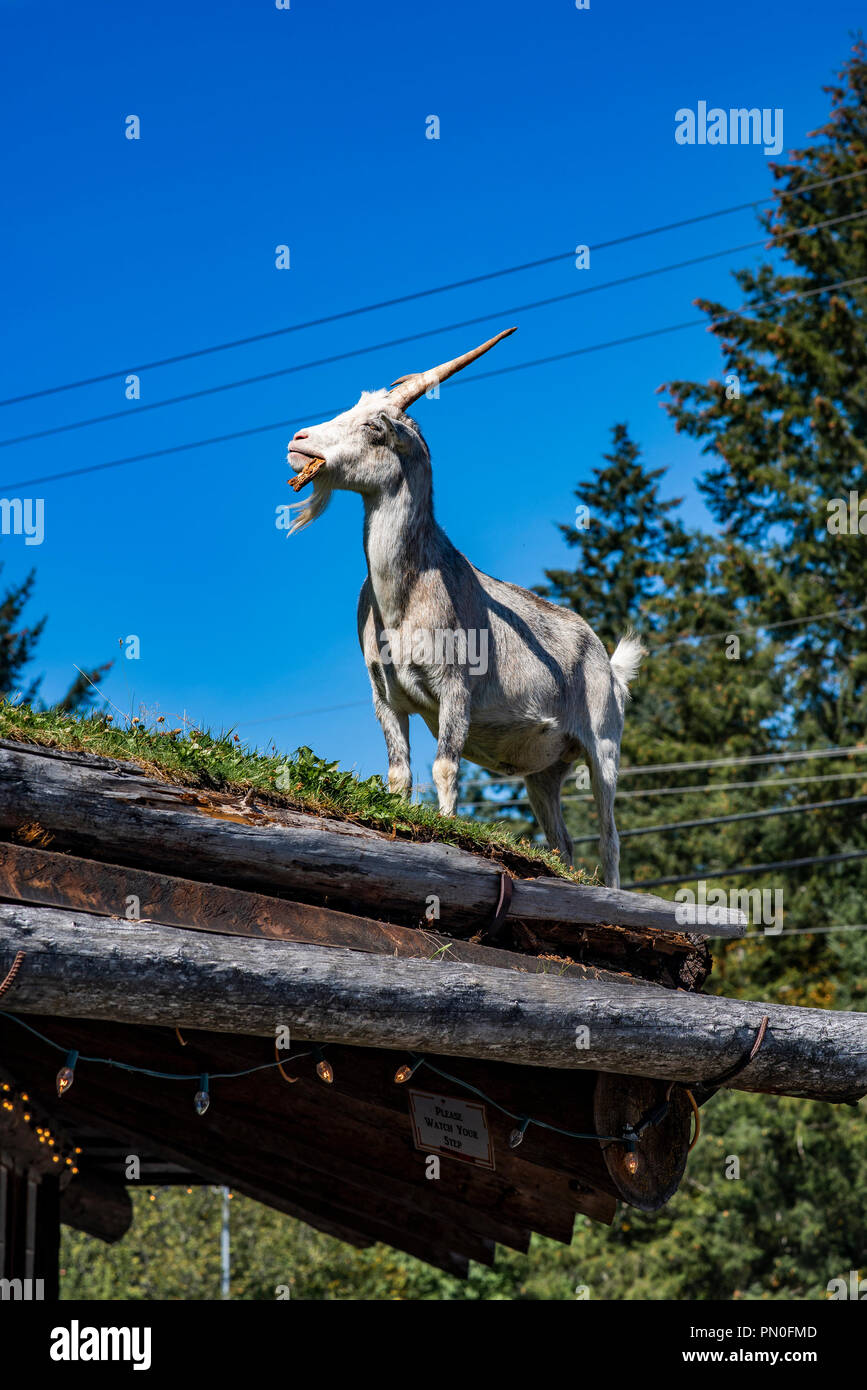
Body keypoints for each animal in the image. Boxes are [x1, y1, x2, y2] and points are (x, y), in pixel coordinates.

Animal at [286, 328, 645, 886]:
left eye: (374, 425)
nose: (298, 441)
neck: (402, 602)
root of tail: (609, 663)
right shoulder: (384, 697)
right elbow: (399, 775)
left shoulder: (455, 687)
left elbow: (445, 767)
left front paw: (446, 833)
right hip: (546, 772)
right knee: (562, 841)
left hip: (604, 745)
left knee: (610, 839)